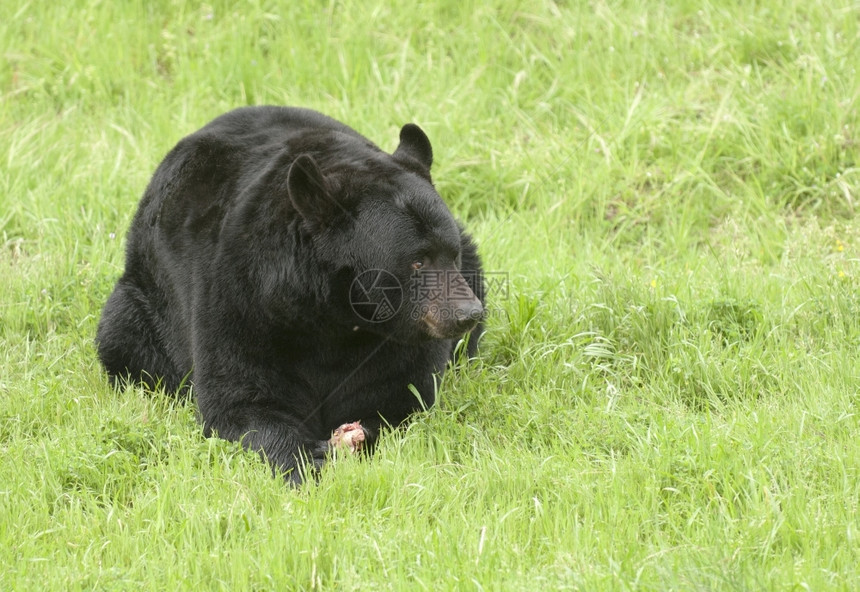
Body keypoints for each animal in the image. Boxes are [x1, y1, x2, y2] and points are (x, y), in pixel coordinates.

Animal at [95, 106, 484, 484]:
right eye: (418, 261)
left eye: (450, 255)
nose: (467, 312)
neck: (336, 317)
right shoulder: (243, 300)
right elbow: (241, 399)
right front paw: (301, 463)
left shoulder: (394, 340)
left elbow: (400, 396)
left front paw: (352, 437)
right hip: (143, 302)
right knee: (123, 338)